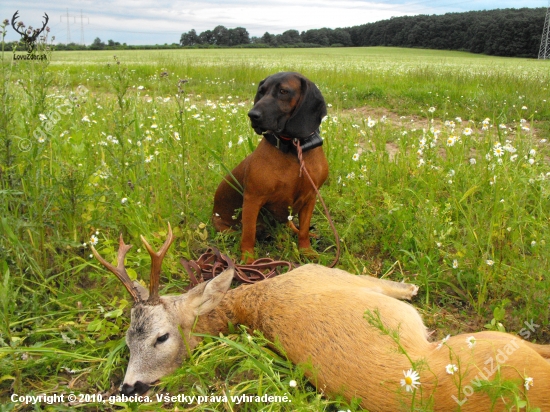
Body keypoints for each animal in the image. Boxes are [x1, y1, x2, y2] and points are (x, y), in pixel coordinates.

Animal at [92, 224, 550, 410]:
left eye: (160, 338)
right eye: (129, 342)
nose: (128, 387)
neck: (253, 300)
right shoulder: (330, 273)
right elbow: (381, 284)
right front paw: (411, 288)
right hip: (491, 340)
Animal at [213, 71, 330, 262]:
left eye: (283, 91)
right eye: (261, 91)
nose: (252, 114)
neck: (293, 148)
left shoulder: (310, 197)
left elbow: (304, 230)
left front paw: (306, 251)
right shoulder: (253, 200)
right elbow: (248, 234)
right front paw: (248, 260)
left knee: (292, 226)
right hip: (225, 228)